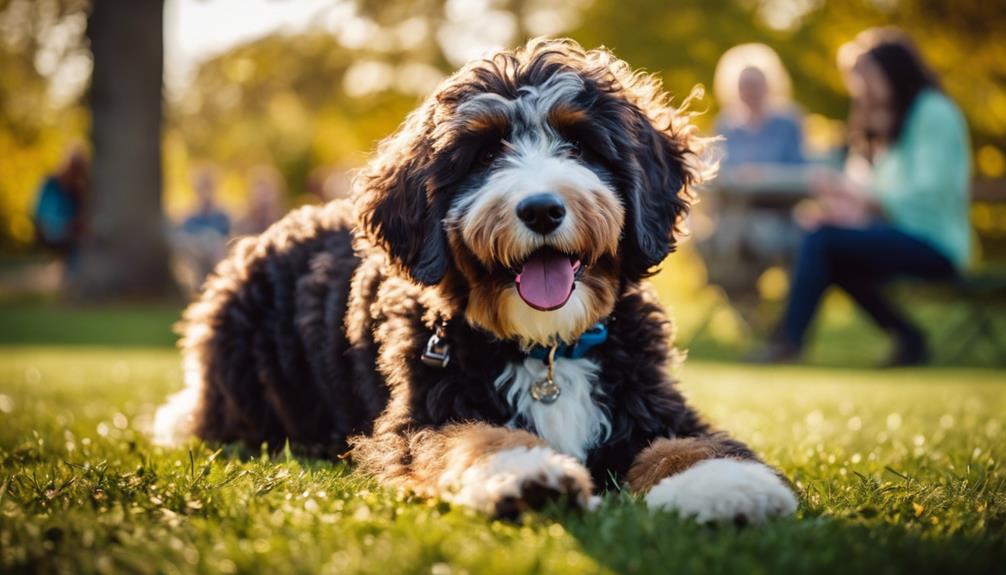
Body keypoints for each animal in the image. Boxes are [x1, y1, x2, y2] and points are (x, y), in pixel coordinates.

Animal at [154, 38, 792, 522]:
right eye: (484, 155)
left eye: (580, 144)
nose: (541, 209)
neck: (546, 350)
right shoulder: (424, 416)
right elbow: (475, 435)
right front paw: (527, 473)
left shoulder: (653, 400)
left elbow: (690, 442)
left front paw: (728, 484)